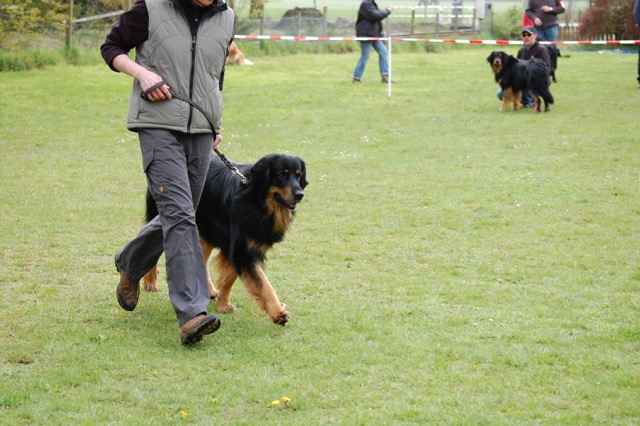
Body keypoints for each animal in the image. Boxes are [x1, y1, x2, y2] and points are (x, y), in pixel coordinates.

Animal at [144, 153, 308, 326]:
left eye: (299, 175)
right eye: (281, 175)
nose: (300, 194)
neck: (256, 200)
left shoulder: (239, 247)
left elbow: (229, 278)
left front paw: (223, 304)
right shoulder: (241, 250)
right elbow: (263, 283)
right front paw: (277, 312)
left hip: (206, 229)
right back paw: (150, 281)